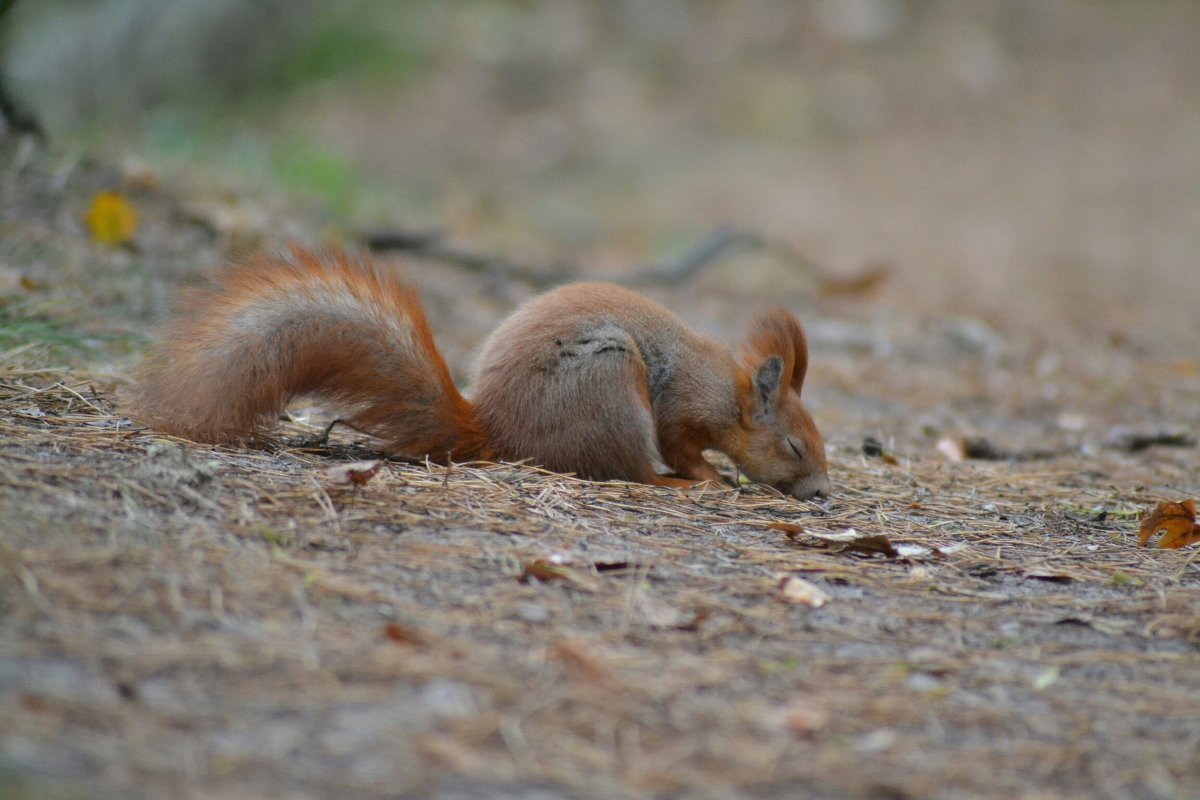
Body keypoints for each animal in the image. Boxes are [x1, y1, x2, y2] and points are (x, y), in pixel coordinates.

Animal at [126, 250, 830, 501]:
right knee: (621, 467)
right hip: (611, 384)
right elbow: (683, 446)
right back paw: (668, 483)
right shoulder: (682, 409)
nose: (823, 493)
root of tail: (497, 433)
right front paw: (710, 475)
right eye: (795, 446)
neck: (728, 393)